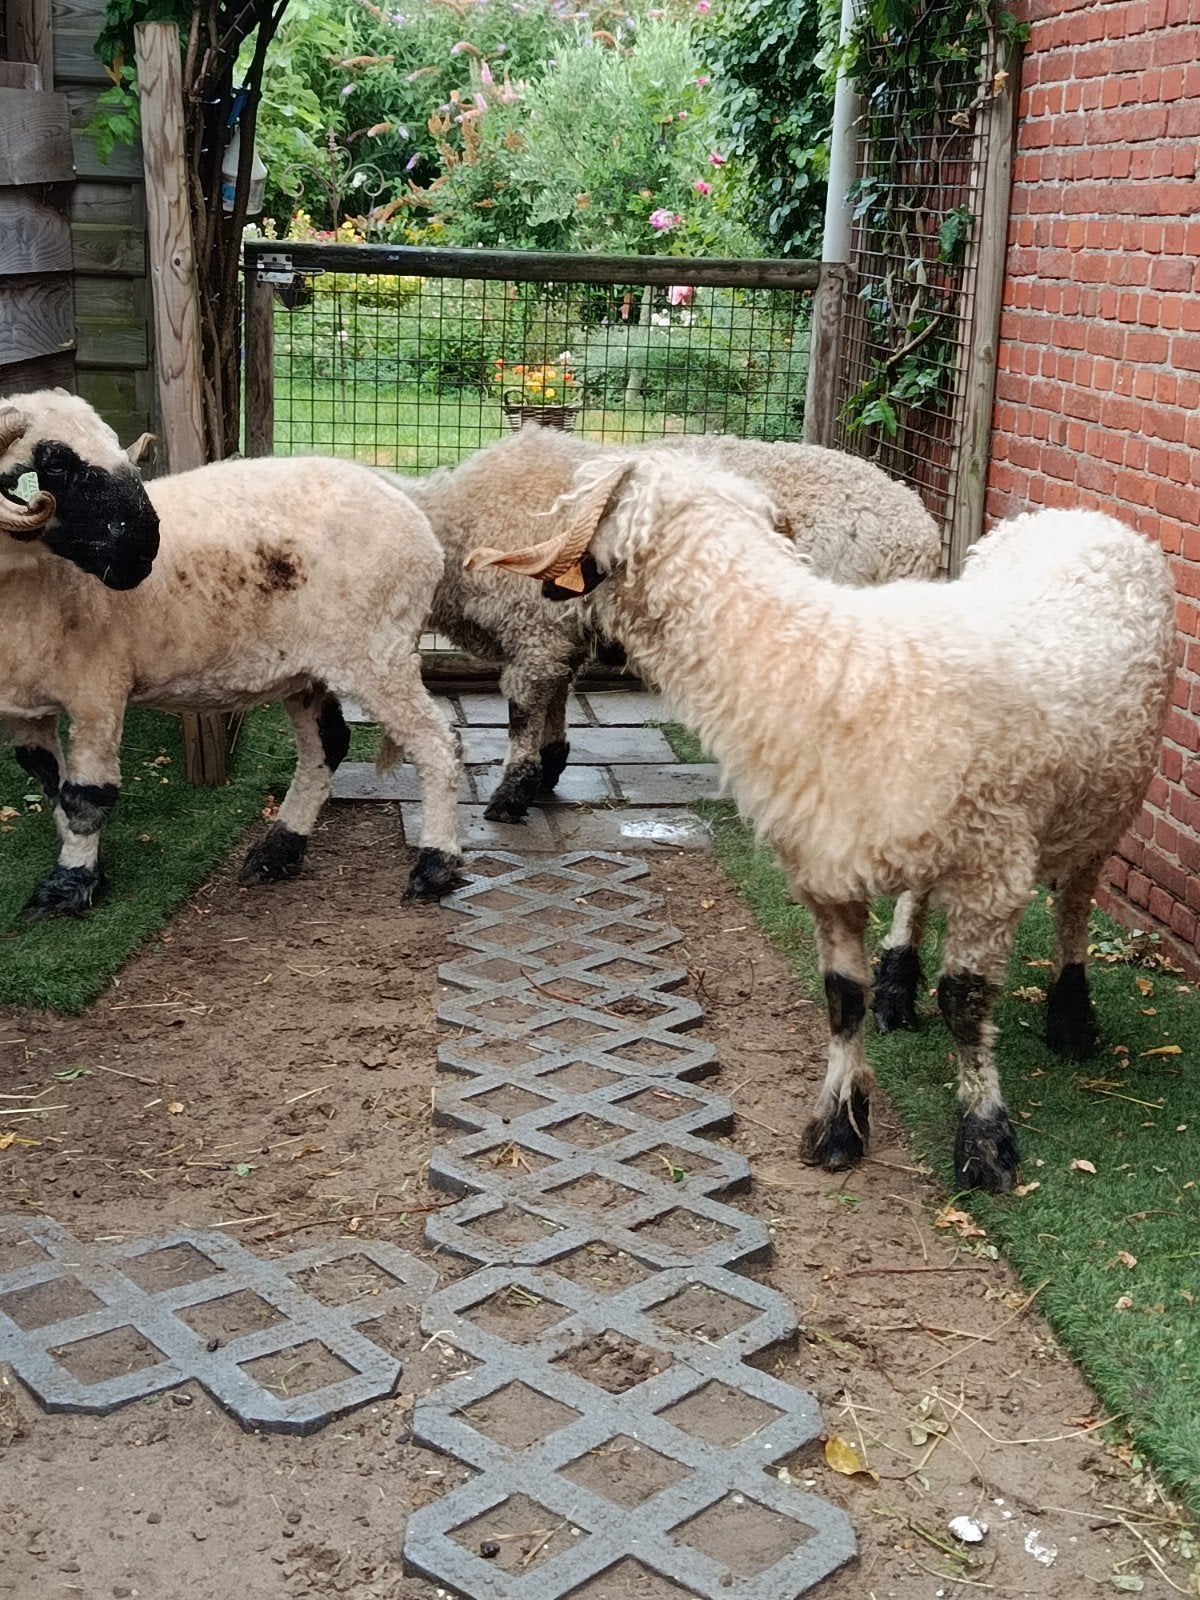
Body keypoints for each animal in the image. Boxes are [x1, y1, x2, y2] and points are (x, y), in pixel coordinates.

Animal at [0, 391, 462, 917]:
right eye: (56, 461)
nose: (146, 546)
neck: (34, 582)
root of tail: (401, 495)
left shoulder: (98, 689)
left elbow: (85, 795)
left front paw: (67, 885)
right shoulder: (26, 709)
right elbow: (49, 782)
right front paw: (87, 865)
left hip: (377, 650)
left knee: (436, 743)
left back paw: (435, 865)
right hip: (310, 667)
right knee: (327, 743)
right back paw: (277, 851)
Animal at [399, 425, 941, 824]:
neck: (461, 526)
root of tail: (919, 535)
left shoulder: (534, 630)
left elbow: (522, 710)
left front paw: (510, 796)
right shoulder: (556, 635)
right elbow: (554, 695)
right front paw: (549, 768)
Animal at [466, 454, 1177, 1193]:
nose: (553, 602)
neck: (827, 665)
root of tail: (1083, 517)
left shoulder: (993, 868)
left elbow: (965, 1003)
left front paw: (985, 1142)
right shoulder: (826, 865)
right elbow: (841, 998)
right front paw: (838, 1125)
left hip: (1109, 798)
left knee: (1075, 902)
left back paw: (1071, 1017)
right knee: (919, 894)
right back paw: (899, 980)